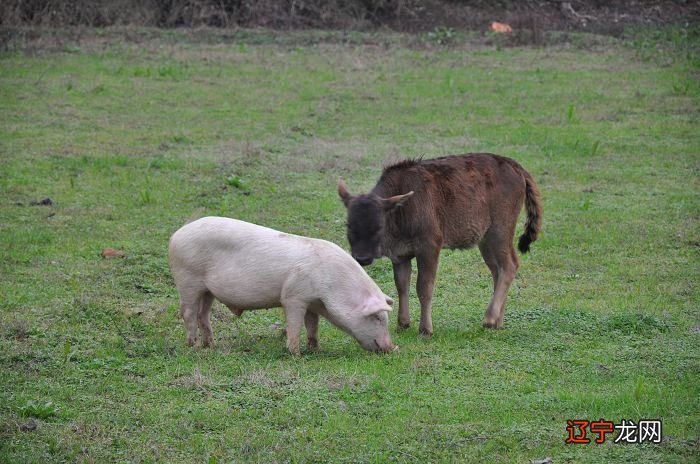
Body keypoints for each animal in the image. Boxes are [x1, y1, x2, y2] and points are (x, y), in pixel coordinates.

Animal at [167, 216, 396, 354]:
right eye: (377, 317)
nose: (394, 348)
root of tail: (176, 234)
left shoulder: (312, 301)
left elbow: (312, 325)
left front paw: (314, 349)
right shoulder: (293, 296)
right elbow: (294, 324)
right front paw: (296, 353)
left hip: (207, 290)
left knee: (203, 314)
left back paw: (211, 345)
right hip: (187, 279)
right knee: (188, 312)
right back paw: (192, 346)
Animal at [338, 155, 540, 334]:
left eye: (379, 225)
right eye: (349, 224)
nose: (362, 257)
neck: (401, 211)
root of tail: (516, 167)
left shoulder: (430, 245)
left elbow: (424, 287)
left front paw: (425, 329)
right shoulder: (400, 254)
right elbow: (402, 286)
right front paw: (403, 324)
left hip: (501, 229)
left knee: (510, 265)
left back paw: (489, 319)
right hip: (485, 238)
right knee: (497, 271)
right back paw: (498, 321)